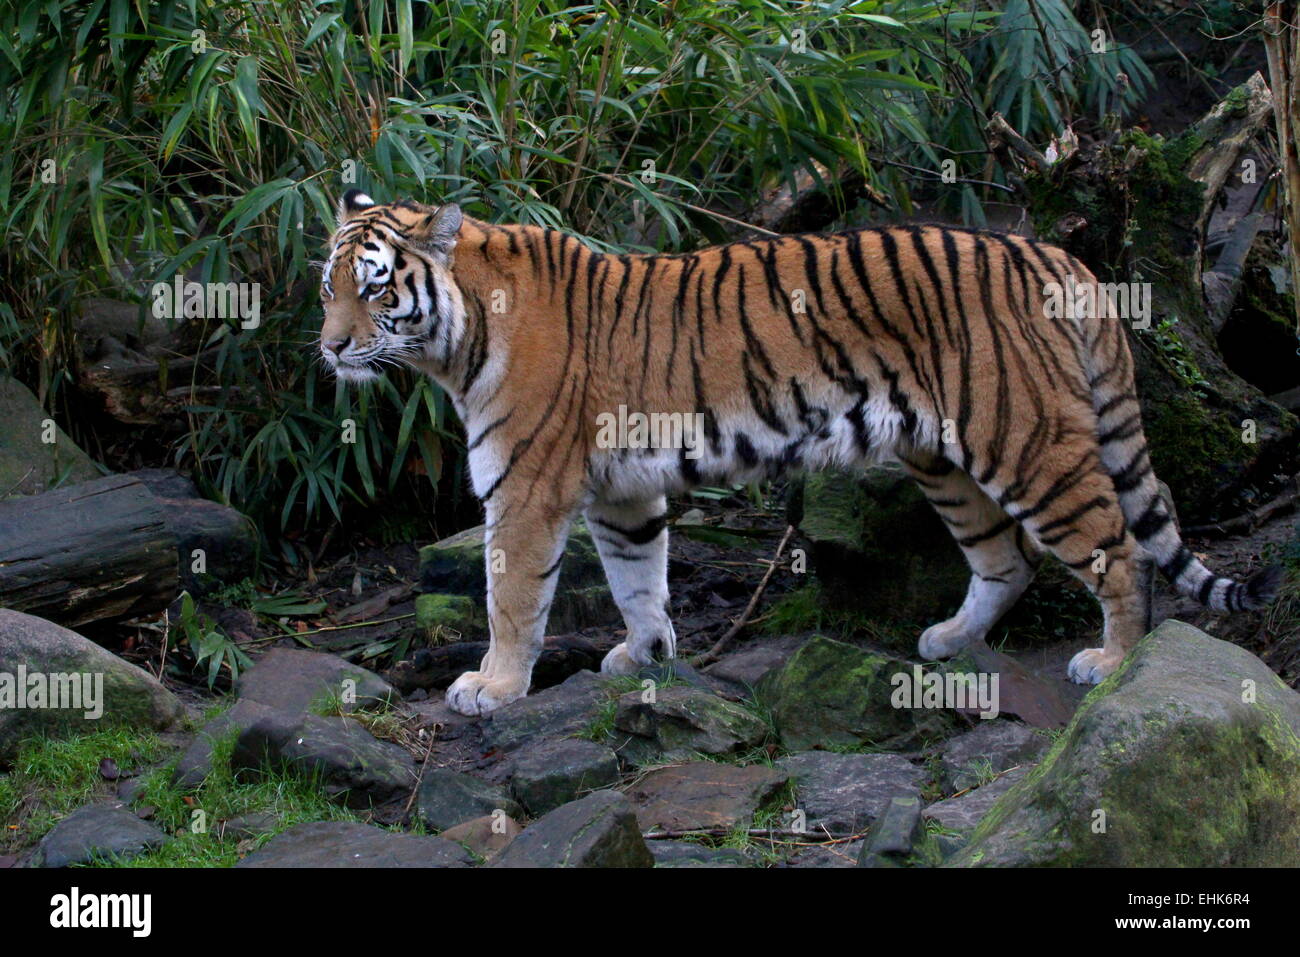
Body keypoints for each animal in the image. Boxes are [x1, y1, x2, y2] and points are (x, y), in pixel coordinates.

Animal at [322, 187, 1279, 712]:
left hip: (1027, 439)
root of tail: (1055, 254)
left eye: (375, 288)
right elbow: (639, 578)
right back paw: (949, 642)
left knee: (1121, 551)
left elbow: (513, 598)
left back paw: (1116, 662)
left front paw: (492, 687)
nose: (329, 348)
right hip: (943, 456)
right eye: (325, 286)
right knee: (1008, 559)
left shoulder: (525, 488)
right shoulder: (621, 493)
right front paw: (645, 656)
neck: (455, 341)